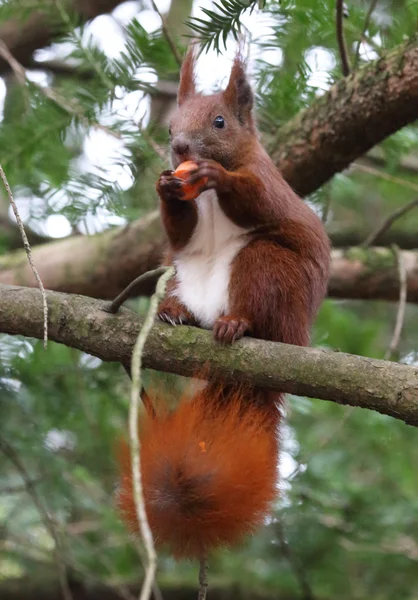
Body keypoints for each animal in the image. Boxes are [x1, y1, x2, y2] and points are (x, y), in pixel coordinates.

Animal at [116, 48, 330, 564]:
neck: (208, 200)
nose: (180, 149)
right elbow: (180, 230)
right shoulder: (182, 234)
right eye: (170, 128)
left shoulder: (267, 183)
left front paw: (217, 175)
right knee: (181, 291)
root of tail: (294, 337)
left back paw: (236, 324)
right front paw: (164, 188)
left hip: (266, 270)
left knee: (256, 302)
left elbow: (256, 199)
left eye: (219, 122)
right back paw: (178, 314)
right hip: (176, 275)